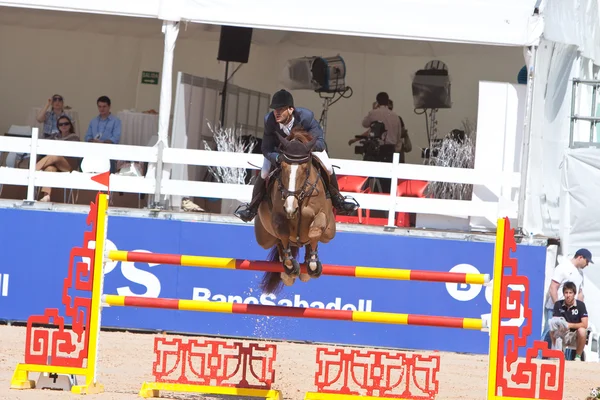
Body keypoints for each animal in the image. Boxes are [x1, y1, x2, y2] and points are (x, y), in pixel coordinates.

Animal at [254, 128, 336, 294]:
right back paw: (288, 273)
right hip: (264, 238)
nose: (290, 208)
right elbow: (283, 234)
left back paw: (307, 268)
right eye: (283, 167)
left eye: (305, 169)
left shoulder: (322, 215)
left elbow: (315, 231)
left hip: (330, 233)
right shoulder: (278, 218)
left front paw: (312, 264)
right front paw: (291, 267)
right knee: (279, 243)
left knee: (313, 240)